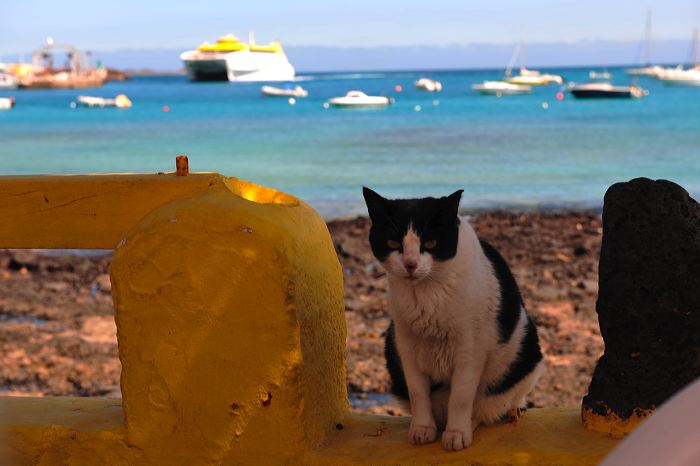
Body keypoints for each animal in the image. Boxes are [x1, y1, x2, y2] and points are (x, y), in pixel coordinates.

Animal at [364, 187, 544, 452]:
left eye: (430, 242)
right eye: (393, 243)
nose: (410, 264)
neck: (427, 295)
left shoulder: (469, 351)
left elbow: (461, 397)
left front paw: (457, 434)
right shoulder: (406, 346)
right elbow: (418, 393)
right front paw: (422, 429)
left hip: (524, 357)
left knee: (484, 406)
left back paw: (466, 424)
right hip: (390, 339)